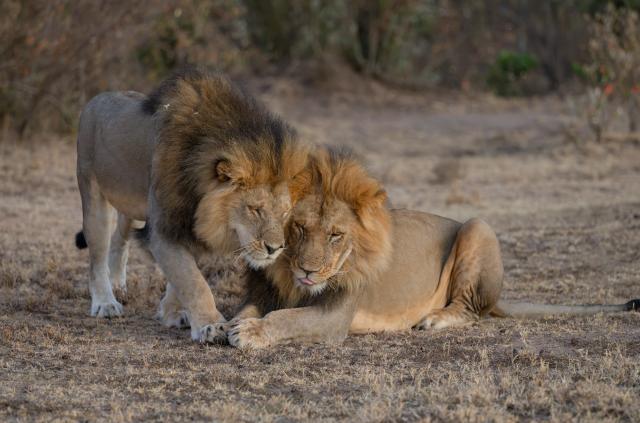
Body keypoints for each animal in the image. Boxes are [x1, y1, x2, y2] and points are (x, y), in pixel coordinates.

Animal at [75, 69, 311, 343]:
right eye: (255, 209)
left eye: (284, 213)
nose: (275, 249)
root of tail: (96, 99)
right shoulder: (163, 229)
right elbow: (193, 281)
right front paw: (211, 325)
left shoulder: (189, 226)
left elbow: (181, 278)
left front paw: (172, 313)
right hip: (93, 196)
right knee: (97, 254)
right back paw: (105, 302)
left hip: (131, 204)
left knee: (119, 238)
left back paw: (117, 283)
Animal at [226, 148, 639, 348]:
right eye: (299, 227)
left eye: (335, 235)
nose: (308, 271)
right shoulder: (267, 292)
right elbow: (247, 309)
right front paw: (227, 326)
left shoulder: (335, 316)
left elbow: (287, 318)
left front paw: (250, 333)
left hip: (477, 226)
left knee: (472, 310)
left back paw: (434, 319)